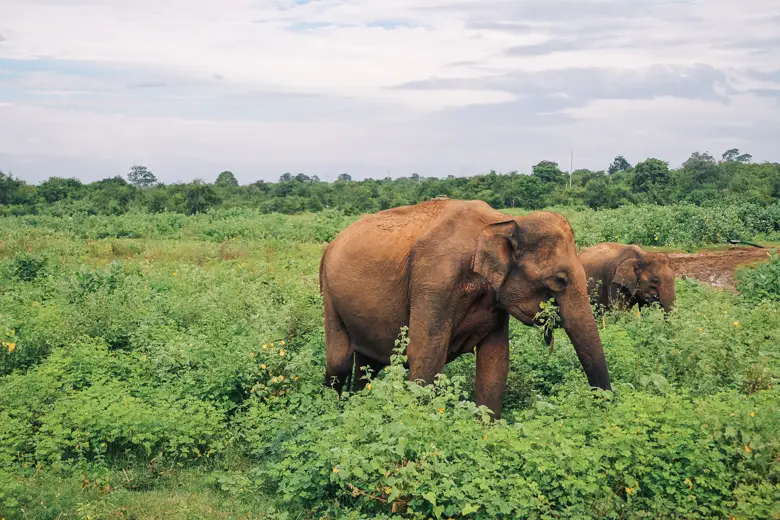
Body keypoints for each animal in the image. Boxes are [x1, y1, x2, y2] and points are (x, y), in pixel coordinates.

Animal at [318, 199, 612, 419]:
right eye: (559, 281)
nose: (605, 408)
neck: (504, 221)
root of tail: (330, 244)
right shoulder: (435, 281)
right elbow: (425, 356)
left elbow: (495, 361)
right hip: (329, 295)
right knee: (339, 362)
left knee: (368, 364)